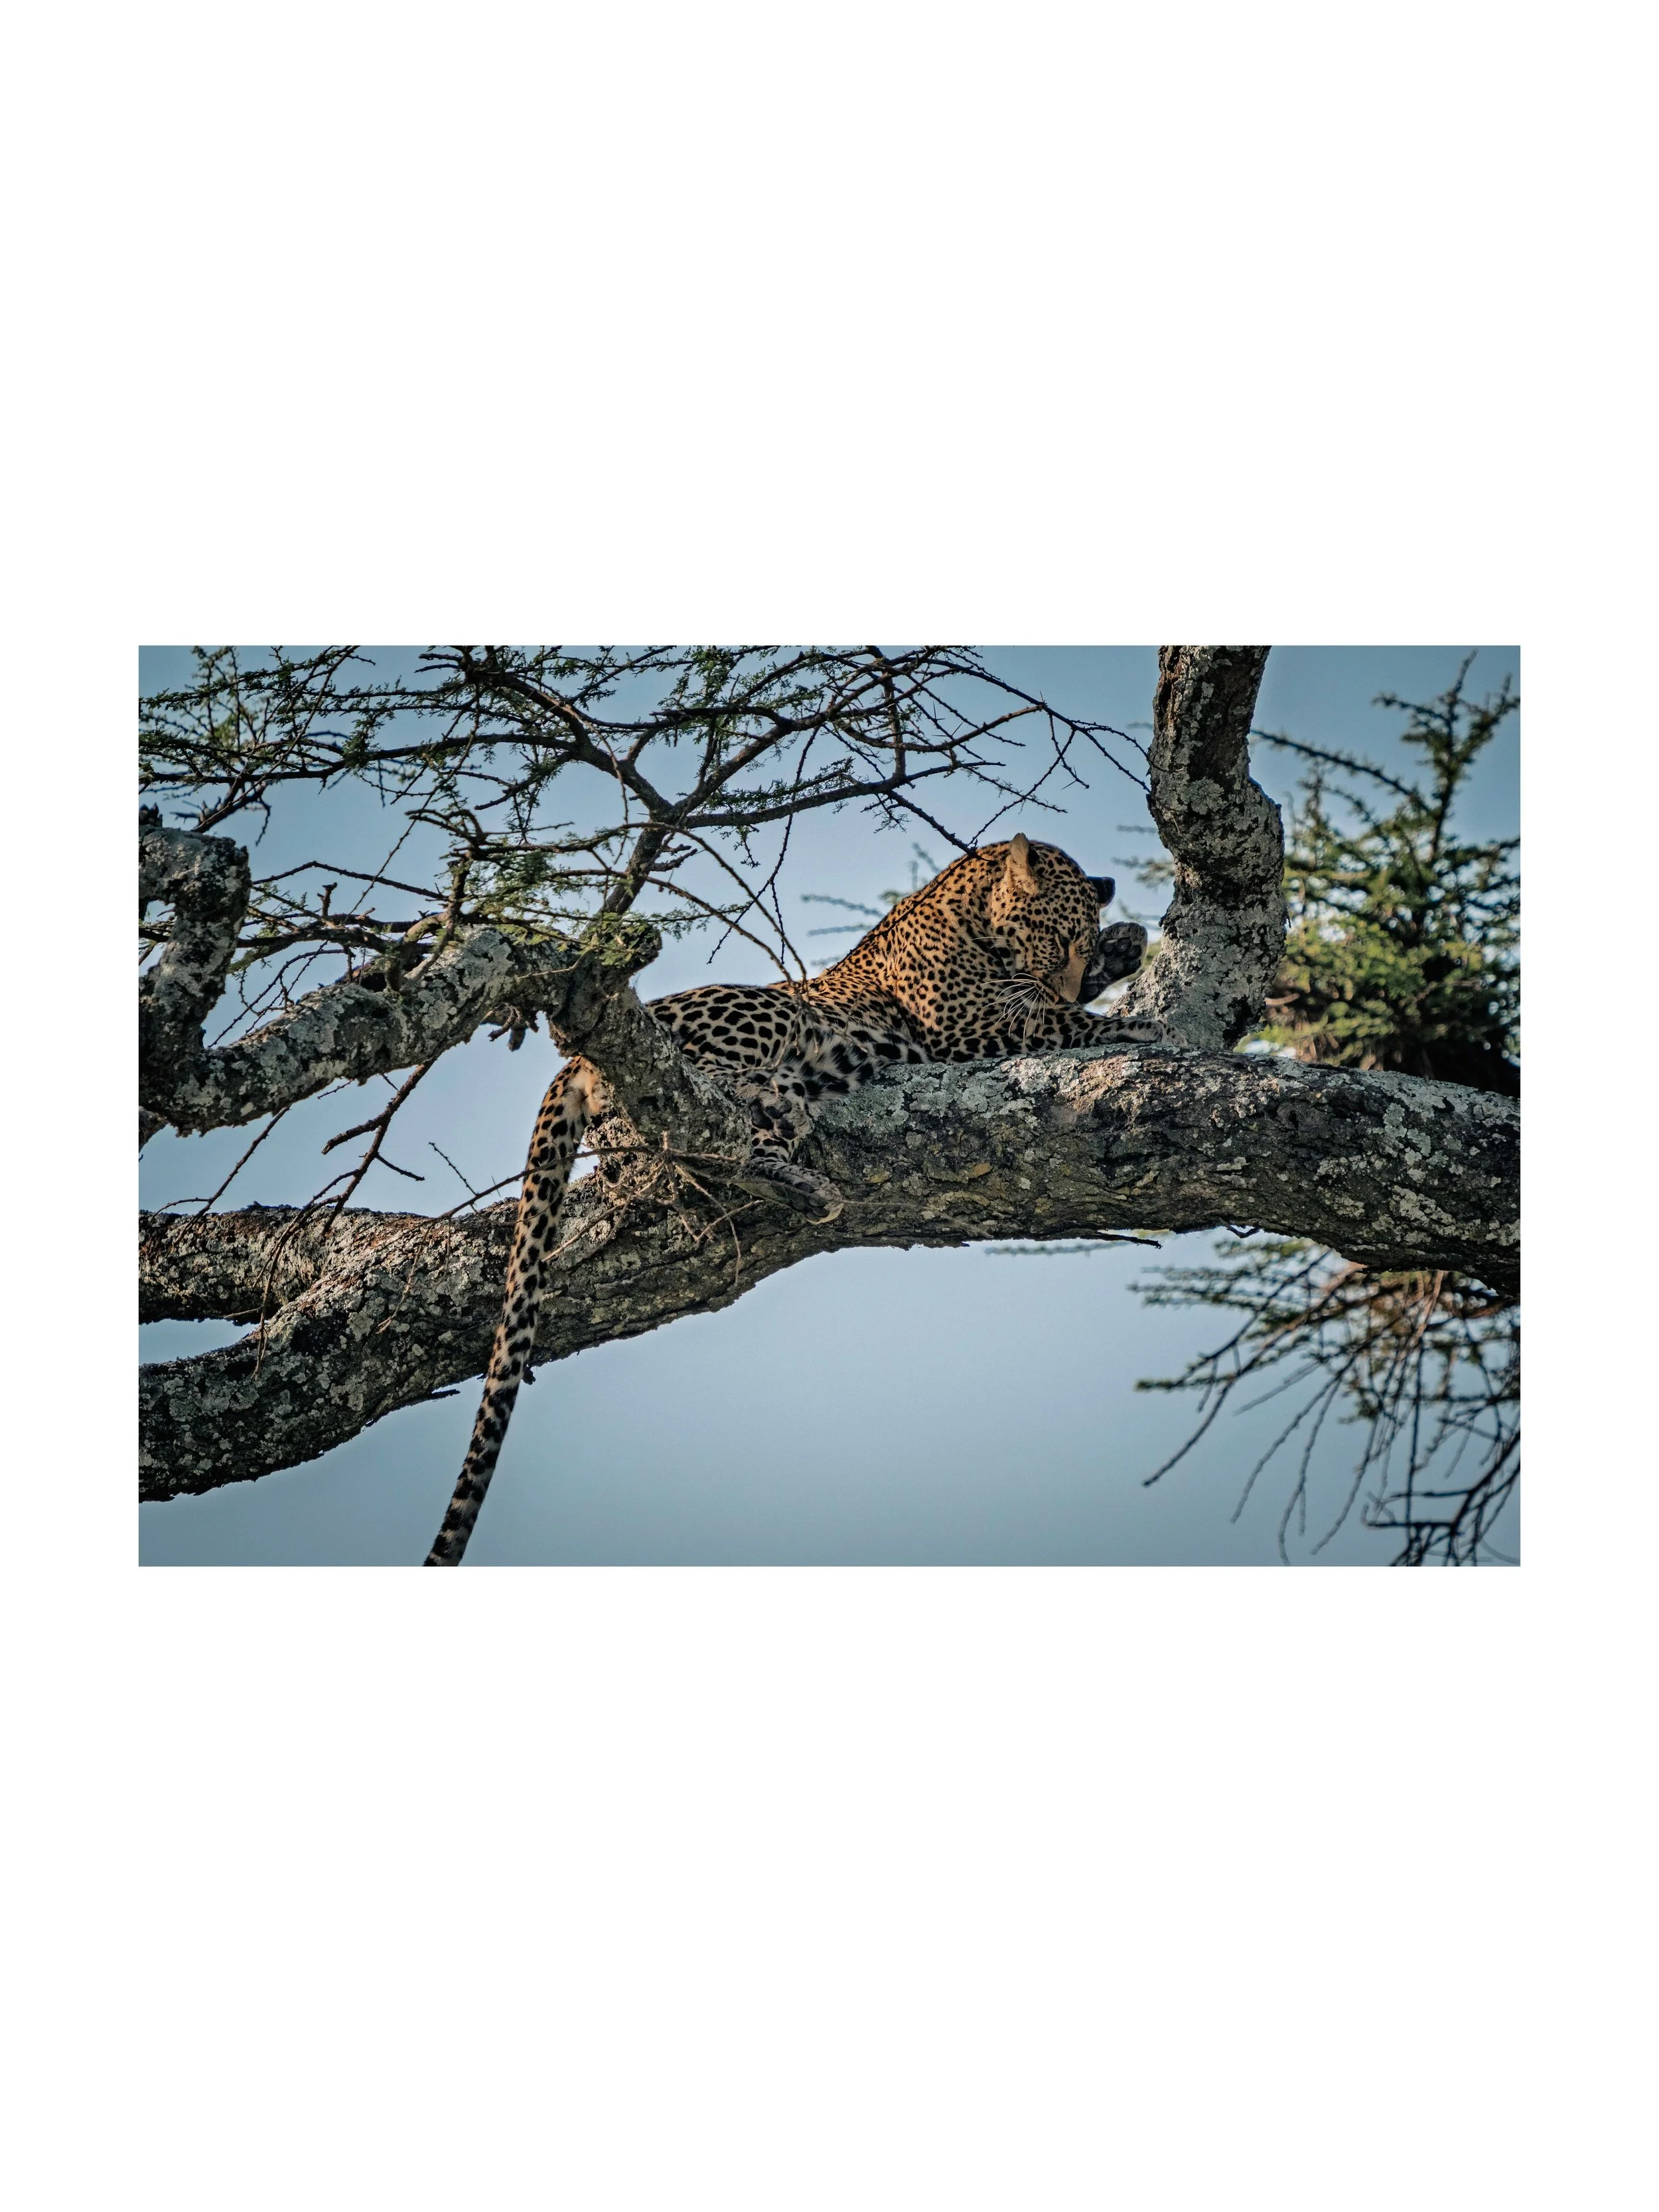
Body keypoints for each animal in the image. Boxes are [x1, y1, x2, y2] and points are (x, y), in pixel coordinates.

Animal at [423, 833, 1158, 1565]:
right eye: (1055, 937)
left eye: (1078, 941)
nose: (1074, 971)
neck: (974, 913)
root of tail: (574, 1059)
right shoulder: (964, 1023)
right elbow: (1055, 1019)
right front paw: (1131, 1025)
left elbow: (1054, 1001)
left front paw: (1124, 945)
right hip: (767, 1010)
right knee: (683, 1096)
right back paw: (771, 1113)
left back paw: (799, 1176)